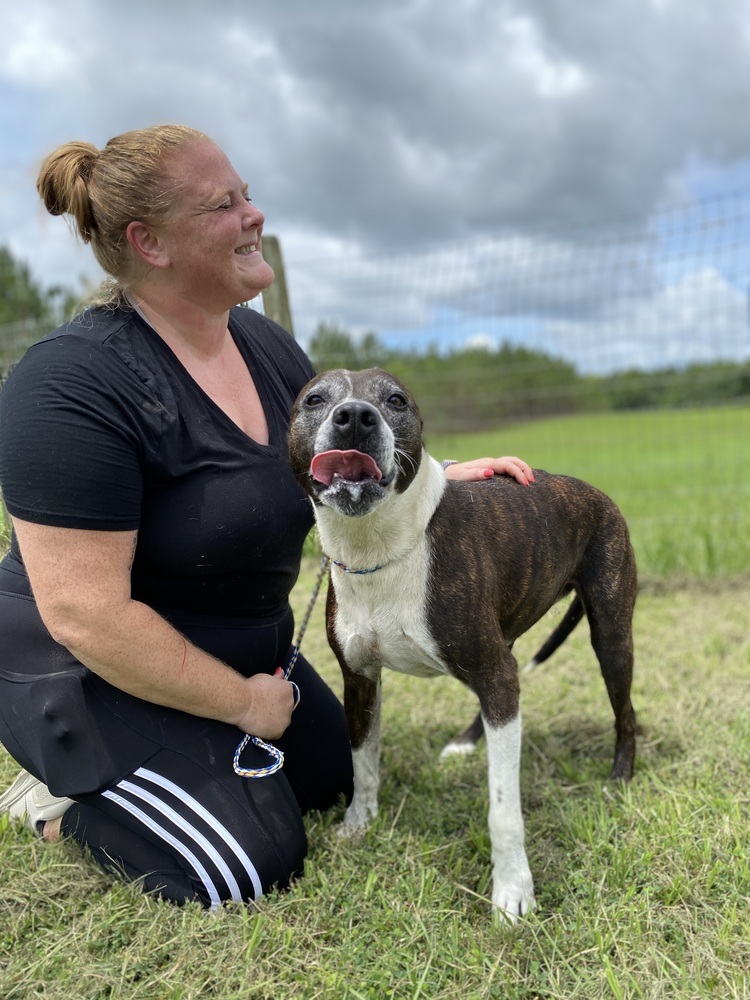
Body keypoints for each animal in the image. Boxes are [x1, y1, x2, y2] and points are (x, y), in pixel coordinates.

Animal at [290, 368, 640, 920]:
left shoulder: (494, 674)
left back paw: (619, 778)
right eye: (315, 399)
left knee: (624, 711)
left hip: (610, 635)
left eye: (396, 401)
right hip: (508, 647)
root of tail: (596, 493)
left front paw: (513, 892)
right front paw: (358, 824)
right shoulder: (360, 679)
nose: (355, 417)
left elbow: (503, 808)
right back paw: (467, 741)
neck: (378, 546)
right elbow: (362, 761)